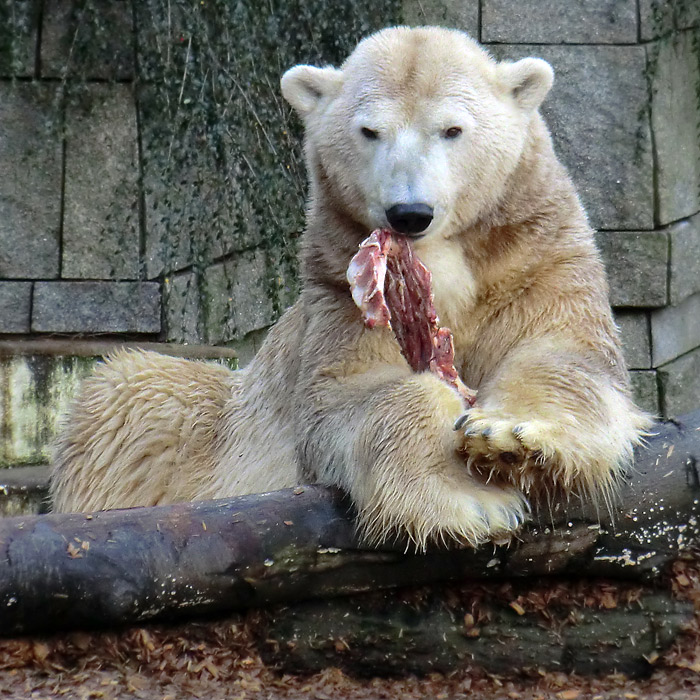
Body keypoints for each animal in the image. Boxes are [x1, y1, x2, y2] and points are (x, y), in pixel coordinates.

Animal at [52, 27, 652, 548]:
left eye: (452, 129)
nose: (410, 212)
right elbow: (353, 394)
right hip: (187, 423)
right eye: (369, 131)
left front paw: (507, 438)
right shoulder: (339, 291)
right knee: (133, 391)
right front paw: (470, 502)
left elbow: (564, 354)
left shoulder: (538, 257)